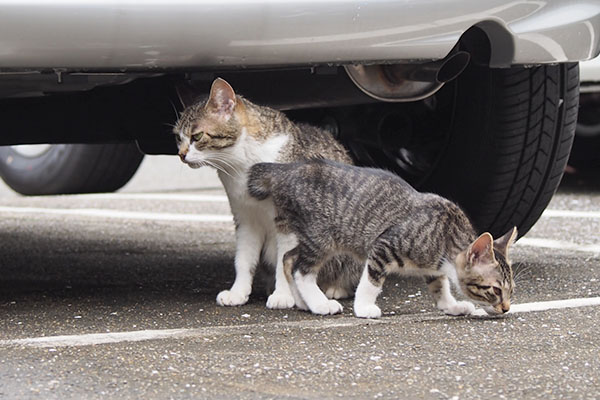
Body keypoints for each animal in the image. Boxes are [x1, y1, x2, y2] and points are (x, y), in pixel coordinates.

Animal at [176, 78, 358, 310]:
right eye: (177, 138)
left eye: (196, 136)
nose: (181, 155)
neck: (242, 163)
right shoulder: (245, 219)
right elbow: (243, 260)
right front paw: (238, 292)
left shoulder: (288, 222)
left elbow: (284, 261)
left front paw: (282, 295)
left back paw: (335, 288)